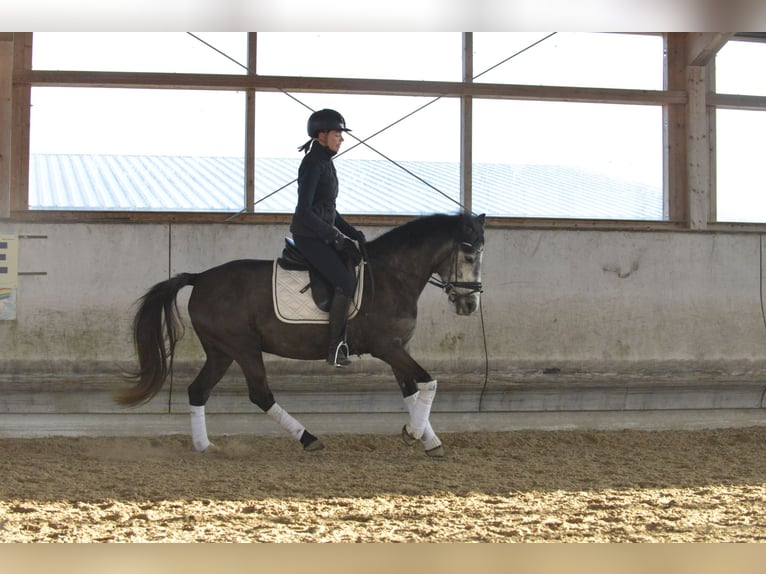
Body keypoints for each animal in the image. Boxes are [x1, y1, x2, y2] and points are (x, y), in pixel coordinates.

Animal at [117, 212, 488, 460]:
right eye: (470, 255)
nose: (470, 304)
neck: (393, 276)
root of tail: (201, 278)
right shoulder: (387, 347)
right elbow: (429, 383)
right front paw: (414, 434)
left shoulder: (399, 348)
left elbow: (412, 392)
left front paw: (429, 441)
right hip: (243, 347)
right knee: (260, 395)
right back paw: (308, 439)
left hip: (221, 351)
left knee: (198, 390)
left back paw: (204, 446)